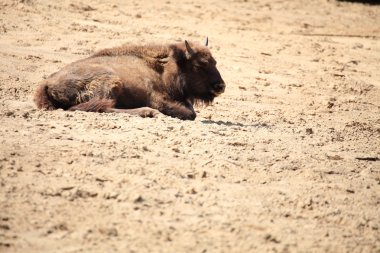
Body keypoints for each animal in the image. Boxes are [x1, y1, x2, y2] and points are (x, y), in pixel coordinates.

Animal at [33, 37, 226, 120]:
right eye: (200, 65)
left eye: (215, 62)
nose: (220, 86)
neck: (162, 68)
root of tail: (47, 83)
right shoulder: (156, 98)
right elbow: (190, 113)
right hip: (112, 82)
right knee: (99, 107)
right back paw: (147, 112)